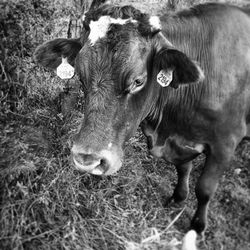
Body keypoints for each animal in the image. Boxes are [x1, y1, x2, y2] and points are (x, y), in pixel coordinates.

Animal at [33, 0, 250, 234]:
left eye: (138, 81)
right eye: (81, 77)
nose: (87, 160)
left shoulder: (224, 145)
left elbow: (204, 189)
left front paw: (198, 226)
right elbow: (183, 168)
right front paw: (178, 197)